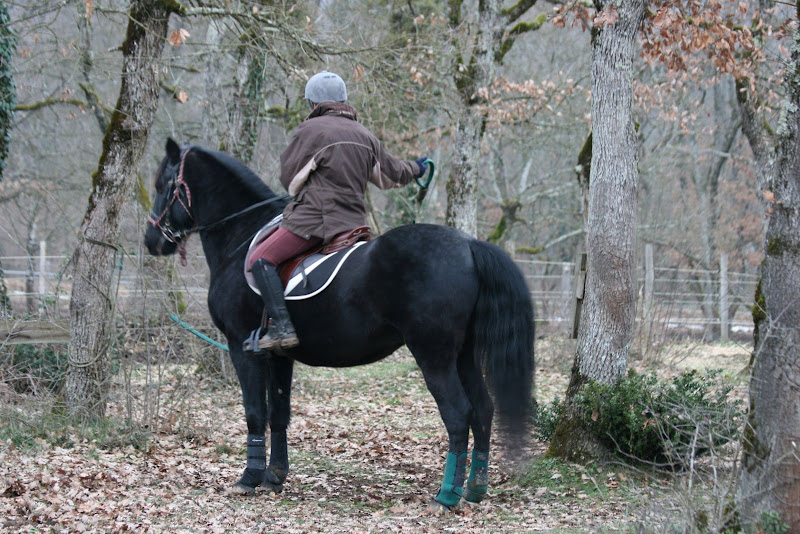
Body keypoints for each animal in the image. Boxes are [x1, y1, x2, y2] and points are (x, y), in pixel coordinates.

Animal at [145, 139, 532, 510]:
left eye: (164, 184)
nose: (151, 241)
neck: (241, 236)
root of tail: (469, 245)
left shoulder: (243, 349)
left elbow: (255, 413)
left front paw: (249, 478)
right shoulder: (279, 357)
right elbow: (278, 414)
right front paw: (275, 477)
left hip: (433, 356)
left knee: (458, 414)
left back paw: (446, 496)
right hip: (463, 355)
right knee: (483, 409)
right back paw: (475, 488)